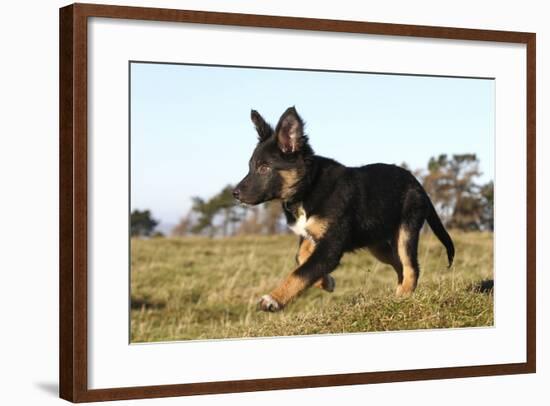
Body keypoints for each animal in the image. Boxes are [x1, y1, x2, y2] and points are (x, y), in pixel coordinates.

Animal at [235, 107, 454, 310]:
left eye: (264, 168)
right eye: (251, 166)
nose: (235, 194)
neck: (308, 187)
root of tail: (418, 184)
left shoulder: (331, 245)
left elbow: (303, 271)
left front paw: (273, 299)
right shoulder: (312, 234)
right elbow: (302, 258)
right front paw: (326, 282)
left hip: (406, 230)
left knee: (411, 267)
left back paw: (402, 297)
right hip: (377, 244)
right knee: (399, 265)